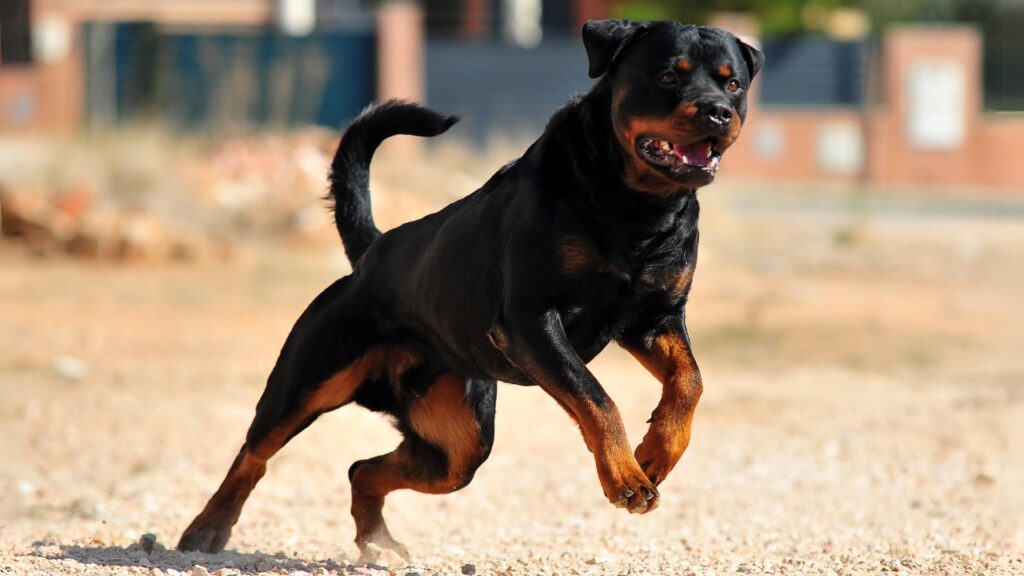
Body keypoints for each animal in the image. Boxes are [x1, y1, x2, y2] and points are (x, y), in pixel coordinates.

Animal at [178, 19, 761, 557]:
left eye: (733, 84)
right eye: (668, 76)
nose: (717, 111)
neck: (637, 207)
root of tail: (372, 252)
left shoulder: (654, 318)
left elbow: (690, 381)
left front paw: (657, 453)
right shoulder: (532, 320)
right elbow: (597, 399)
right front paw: (625, 477)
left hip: (459, 442)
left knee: (364, 469)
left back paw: (377, 541)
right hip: (309, 379)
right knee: (256, 452)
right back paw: (207, 527)